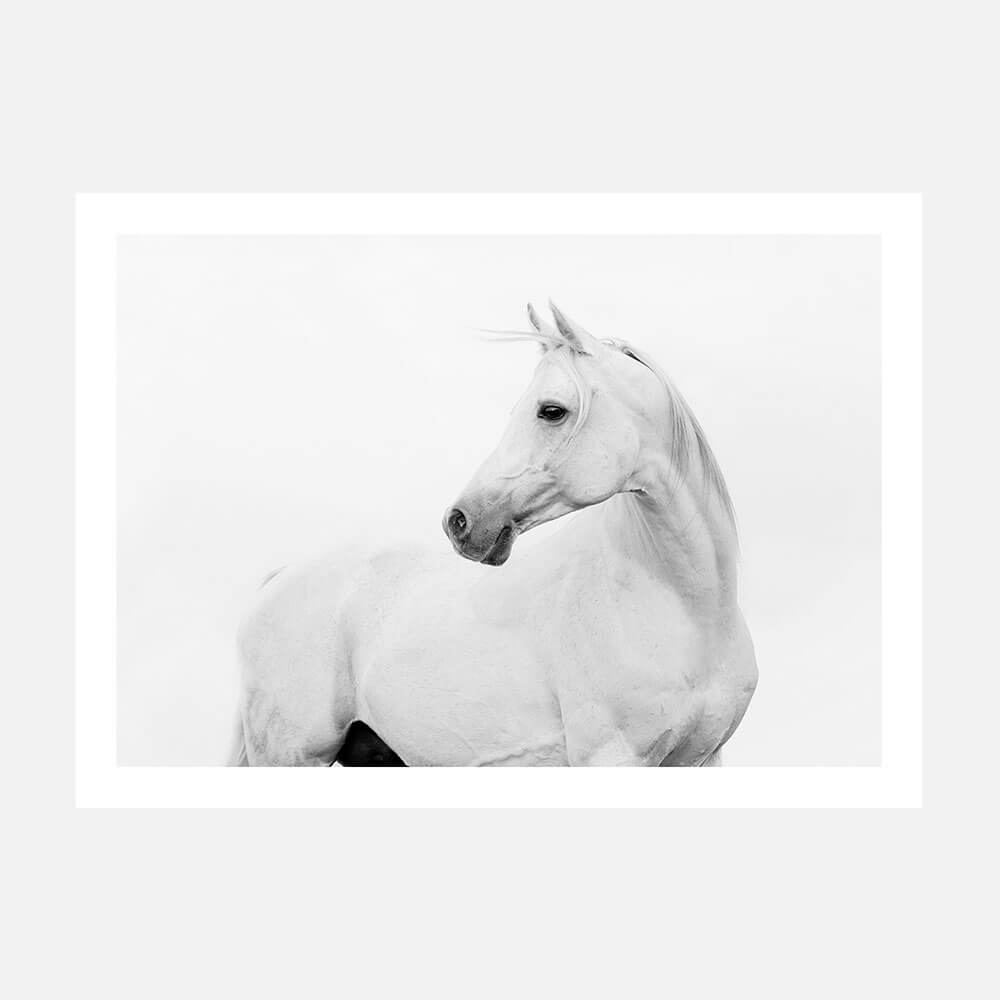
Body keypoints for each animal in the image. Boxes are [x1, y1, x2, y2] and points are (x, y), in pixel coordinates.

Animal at [230, 303, 757, 766]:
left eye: (551, 410)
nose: (459, 521)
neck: (685, 610)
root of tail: (281, 578)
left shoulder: (702, 760)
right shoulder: (612, 756)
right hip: (291, 756)